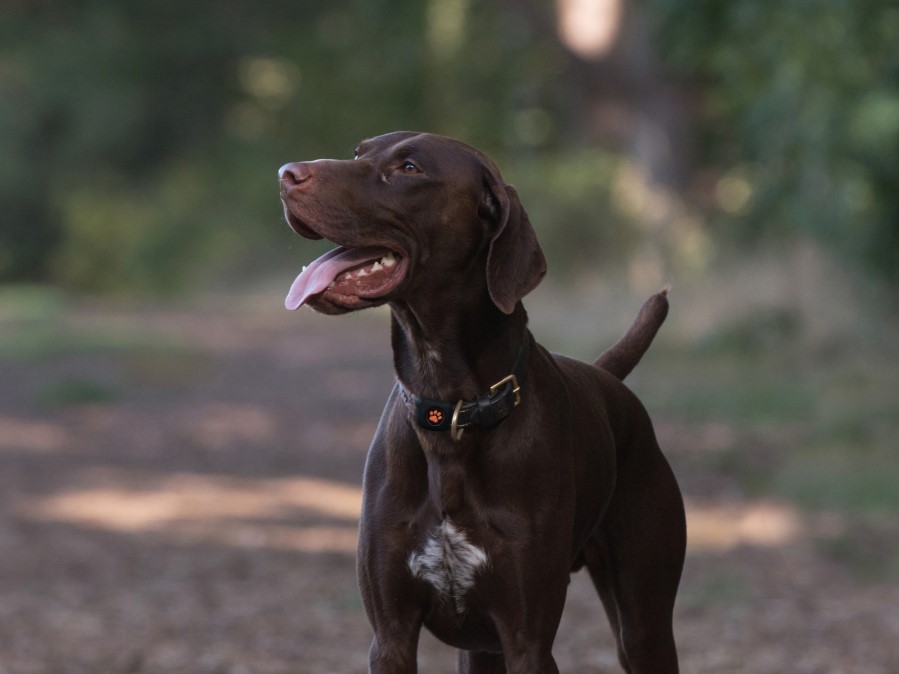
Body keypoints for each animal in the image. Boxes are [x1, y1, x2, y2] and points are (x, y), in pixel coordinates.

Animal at [282, 133, 688, 672]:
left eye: (409, 169)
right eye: (358, 153)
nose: (286, 174)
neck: (451, 409)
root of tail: (607, 378)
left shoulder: (527, 639)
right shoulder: (391, 636)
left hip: (643, 625)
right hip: (481, 649)